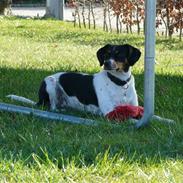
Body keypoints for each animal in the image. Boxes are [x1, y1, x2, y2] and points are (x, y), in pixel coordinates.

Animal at [7, 44, 141, 116]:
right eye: (106, 55)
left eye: (119, 54)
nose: (106, 63)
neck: (119, 83)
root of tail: (39, 100)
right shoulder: (109, 110)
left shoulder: (134, 106)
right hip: (50, 82)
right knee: (52, 107)